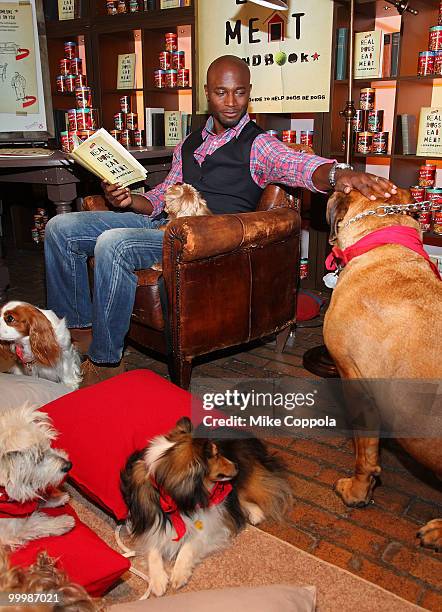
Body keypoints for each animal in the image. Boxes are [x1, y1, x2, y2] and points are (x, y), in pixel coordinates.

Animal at [121, 418, 294, 596]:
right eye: (215, 455)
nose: (236, 466)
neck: (175, 500)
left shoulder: (209, 525)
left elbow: (188, 546)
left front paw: (179, 574)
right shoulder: (149, 523)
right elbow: (154, 549)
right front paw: (157, 581)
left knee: (243, 492)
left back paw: (255, 513)